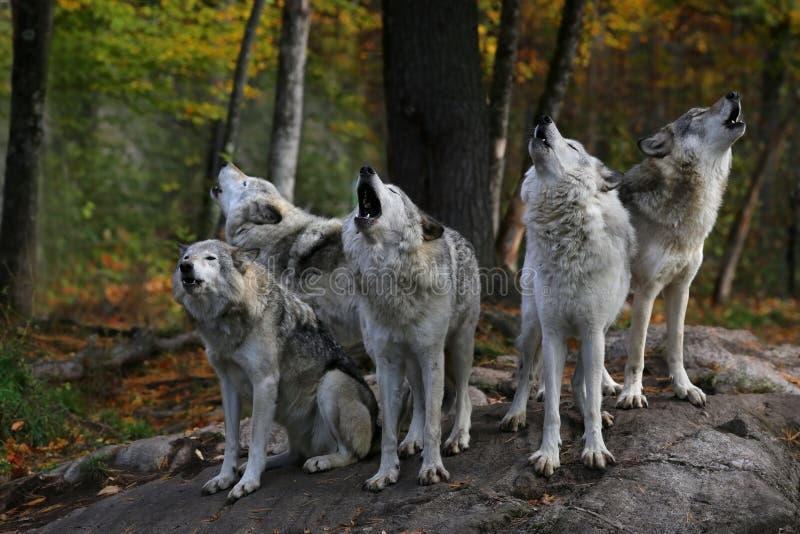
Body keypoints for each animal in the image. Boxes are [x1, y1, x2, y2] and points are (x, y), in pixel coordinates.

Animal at [172, 241, 378, 504]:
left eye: (210, 258)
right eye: (187, 257)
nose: (185, 267)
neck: (227, 321)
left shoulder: (264, 382)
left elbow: (255, 442)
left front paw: (247, 483)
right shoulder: (227, 385)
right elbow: (231, 442)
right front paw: (225, 477)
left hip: (331, 383)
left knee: (350, 453)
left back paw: (321, 461)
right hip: (288, 416)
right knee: (293, 454)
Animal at [340, 165, 478, 492]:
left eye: (394, 192)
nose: (366, 168)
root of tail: (457, 234)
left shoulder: (432, 356)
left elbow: (433, 424)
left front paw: (432, 468)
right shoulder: (387, 362)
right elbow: (391, 430)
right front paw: (385, 473)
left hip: (458, 349)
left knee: (464, 395)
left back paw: (458, 437)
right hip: (411, 364)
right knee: (419, 402)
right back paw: (412, 441)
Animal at [520, 116, 636, 478]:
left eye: (572, 146)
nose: (543, 117)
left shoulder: (592, 332)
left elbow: (592, 400)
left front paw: (594, 448)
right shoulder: (553, 334)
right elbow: (552, 408)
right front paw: (548, 453)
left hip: (598, 335)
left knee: (581, 380)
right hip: (532, 326)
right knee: (527, 371)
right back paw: (514, 415)